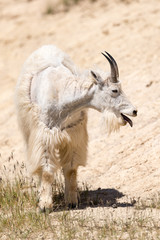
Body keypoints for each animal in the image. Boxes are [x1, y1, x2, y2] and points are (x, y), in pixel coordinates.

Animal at [15, 44, 138, 210]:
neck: (61, 97)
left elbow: (71, 169)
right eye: (114, 90)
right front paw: (45, 205)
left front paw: (72, 202)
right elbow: (46, 171)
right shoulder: (45, 135)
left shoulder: (73, 135)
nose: (134, 111)